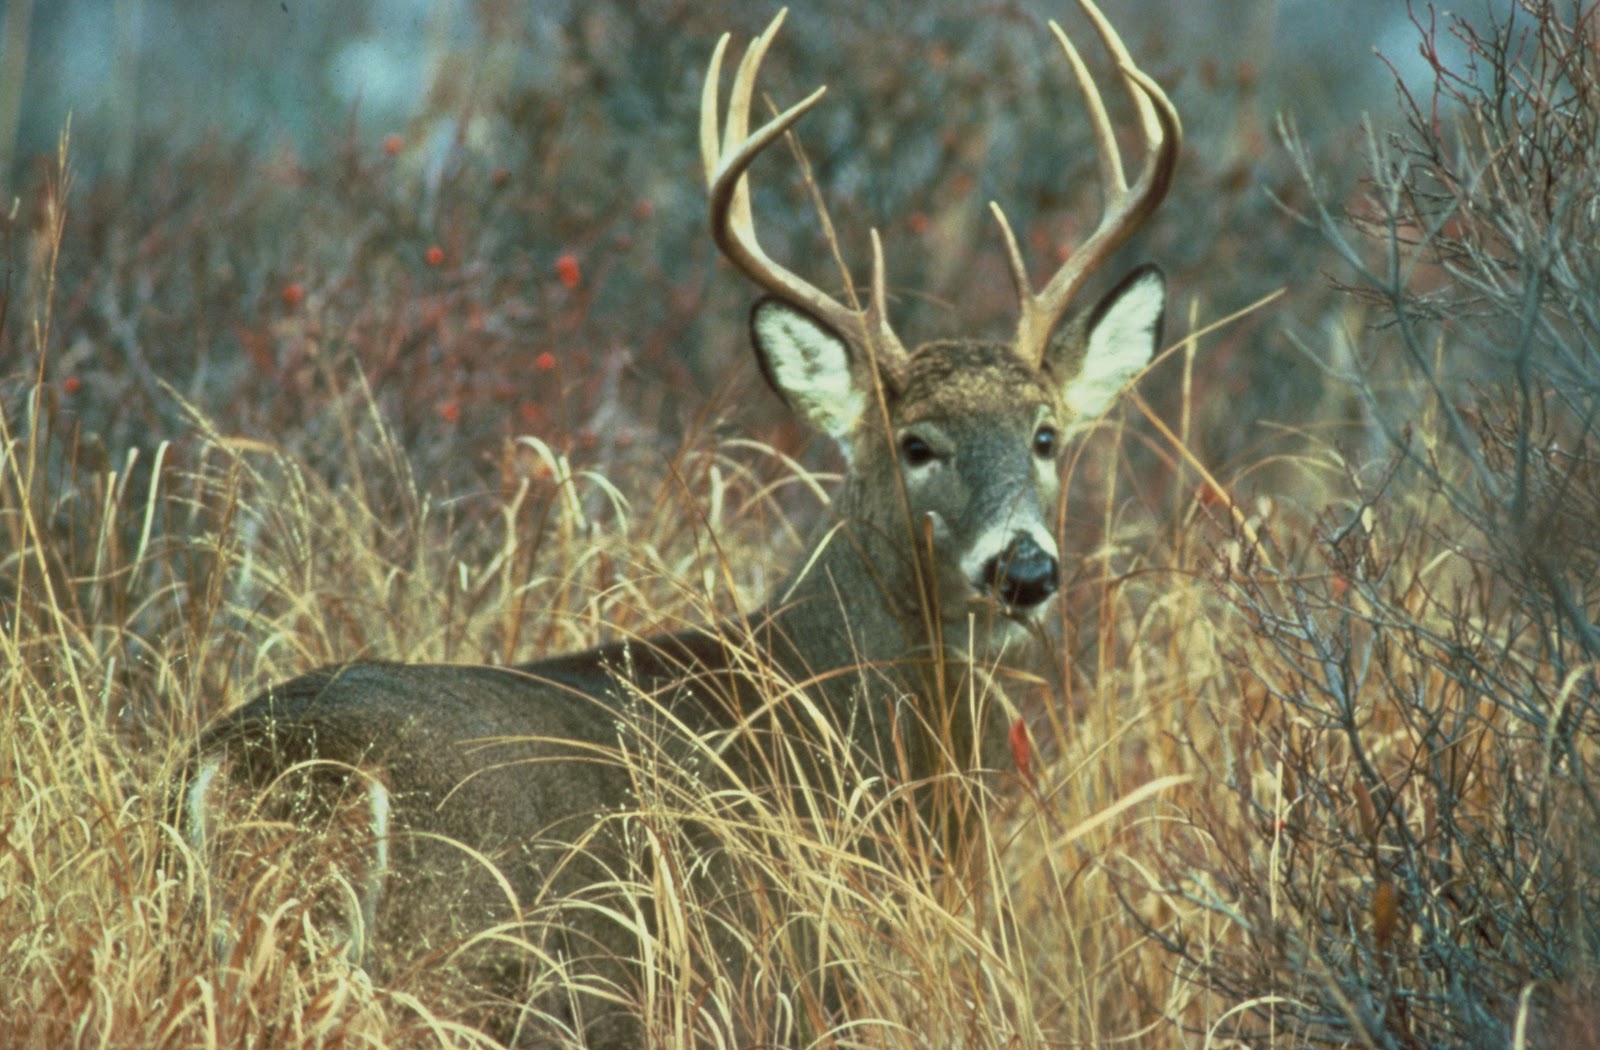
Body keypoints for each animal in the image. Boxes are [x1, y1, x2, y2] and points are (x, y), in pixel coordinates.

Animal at [187, 6, 1184, 1043]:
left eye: (1046, 435)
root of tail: (283, 767)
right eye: (916, 444)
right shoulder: (786, 976)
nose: (1024, 568)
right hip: (468, 967)